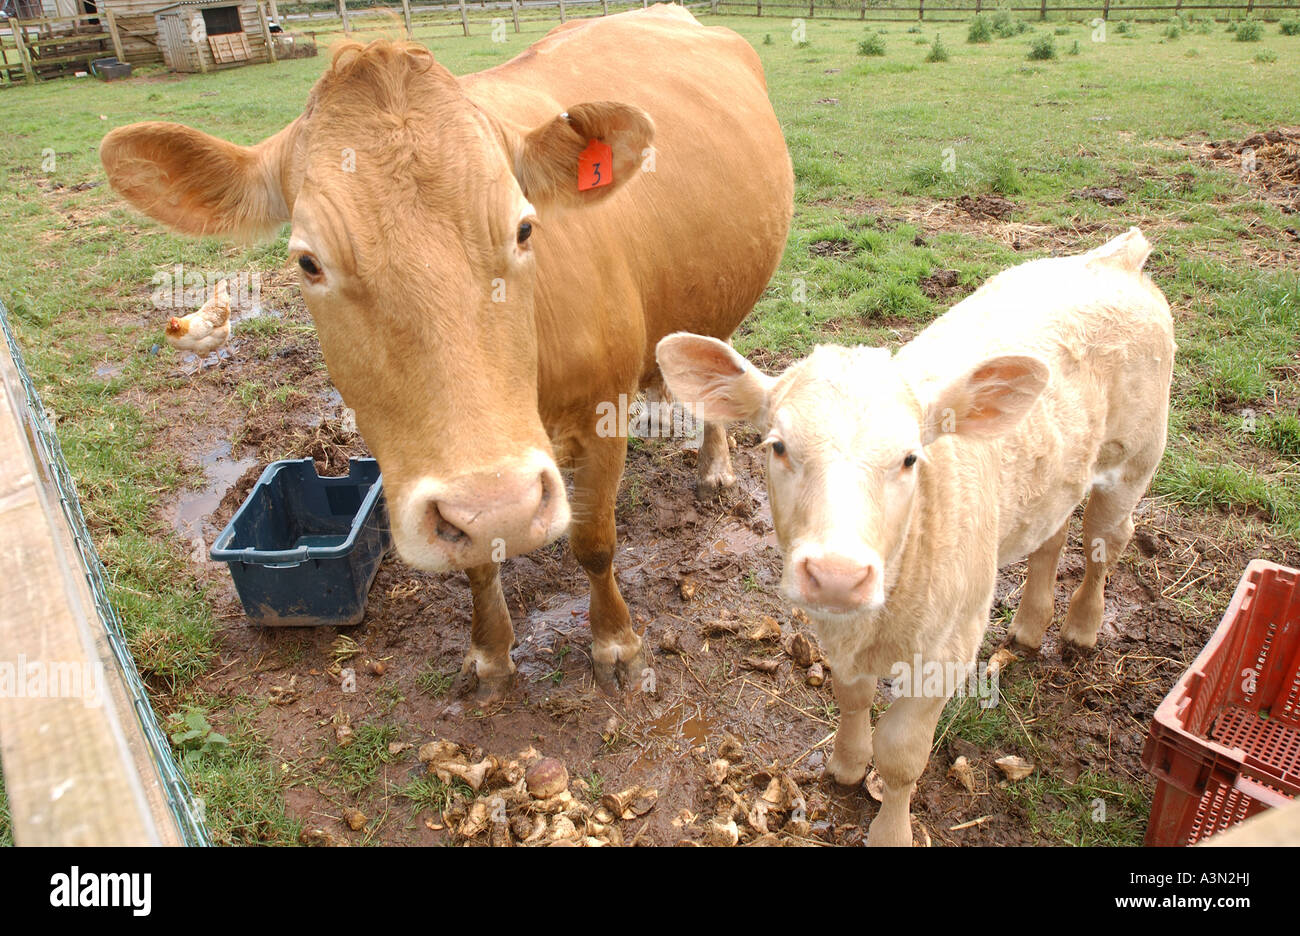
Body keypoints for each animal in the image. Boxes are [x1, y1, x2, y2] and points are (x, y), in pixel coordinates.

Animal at [99, 6, 794, 698]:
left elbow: (594, 541)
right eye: (308, 262)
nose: (499, 506)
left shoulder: (603, 416)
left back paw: (714, 468)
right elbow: (476, 566)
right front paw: (490, 654)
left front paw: (617, 646)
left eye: (524, 227)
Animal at [656, 228, 1174, 845]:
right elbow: (851, 698)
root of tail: (1116, 257)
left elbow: (902, 754)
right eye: (777, 446)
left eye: (910, 458)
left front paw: (890, 829)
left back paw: (1081, 627)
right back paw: (1030, 625)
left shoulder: (951, 645)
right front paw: (847, 765)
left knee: (1105, 545)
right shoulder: (837, 629)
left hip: (1133, 458)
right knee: (1053, 535)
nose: (837, 574)